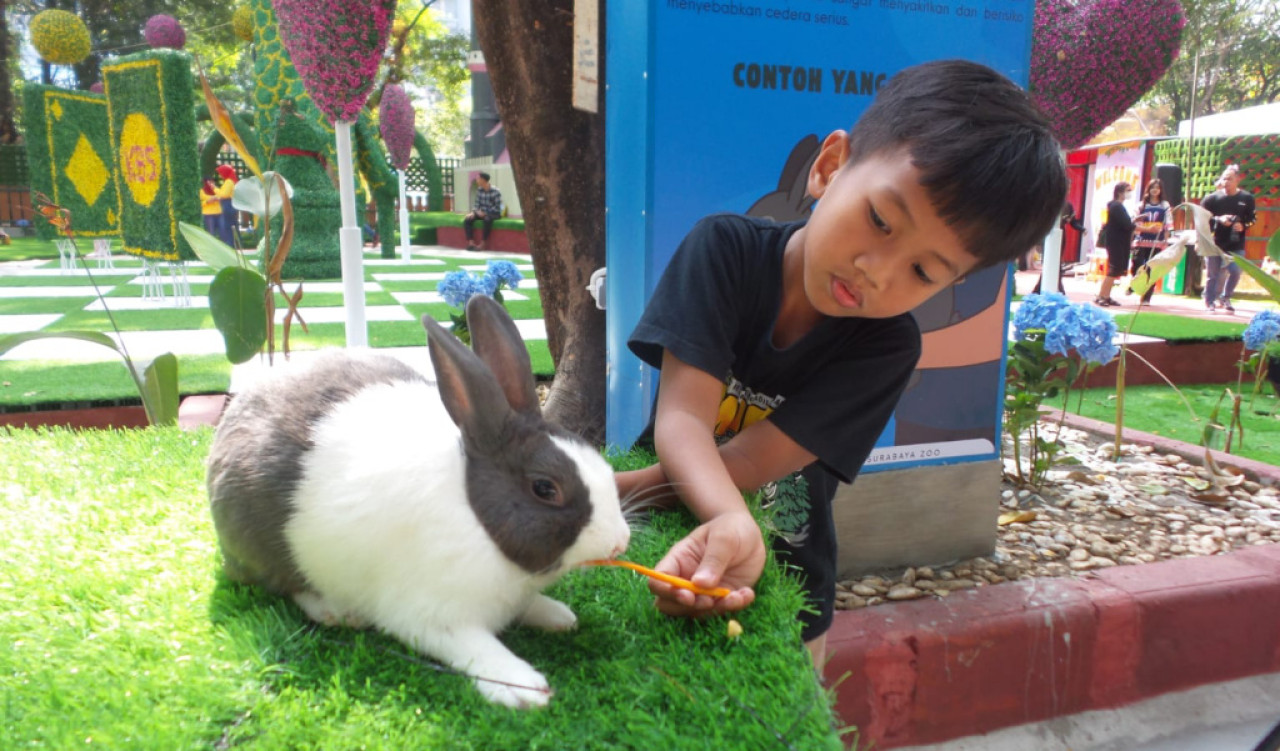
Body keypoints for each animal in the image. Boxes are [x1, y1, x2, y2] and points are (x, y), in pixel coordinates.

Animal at [207, 294, 631, 709]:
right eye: (545, 488)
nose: (620, 541)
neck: (476, 519)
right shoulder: (429, 614)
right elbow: (474, 646)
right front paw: (523, 688)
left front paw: (558, 616)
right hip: (260, 541)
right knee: (286, 583)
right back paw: (336, 611)